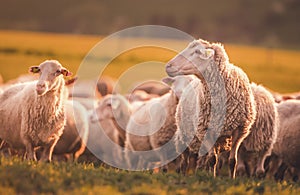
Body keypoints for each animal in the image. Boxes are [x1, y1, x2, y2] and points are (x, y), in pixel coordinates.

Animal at [165, 38, 256, 178]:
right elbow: (213, 160)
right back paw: (184, 175)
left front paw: (231, 179)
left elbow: (232, 161)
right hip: (185, 136)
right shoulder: (206, 130)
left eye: (197, 51)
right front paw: (213, 178)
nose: (168, 66)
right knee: (186, 161)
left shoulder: (240, 130)